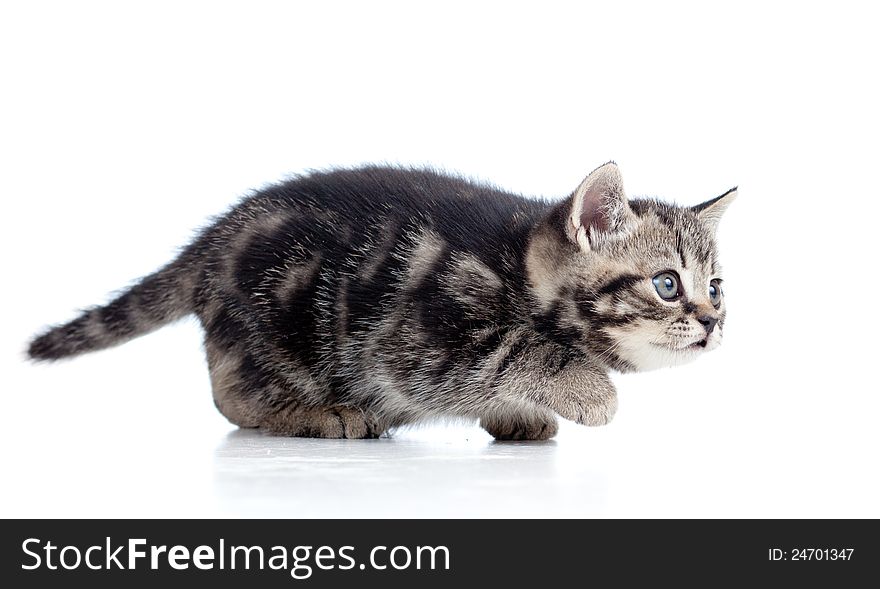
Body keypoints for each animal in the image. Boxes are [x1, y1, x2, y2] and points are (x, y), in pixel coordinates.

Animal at [29, 163, 736, 438]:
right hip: (279, 326)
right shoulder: (416, 340)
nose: (711, 323)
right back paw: (318, 414)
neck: (515, 264)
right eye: (668, 284)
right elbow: (512, 351)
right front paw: (587, 390)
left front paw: (520, 414)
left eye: (716, 287)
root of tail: (215, 239)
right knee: (233, 396)